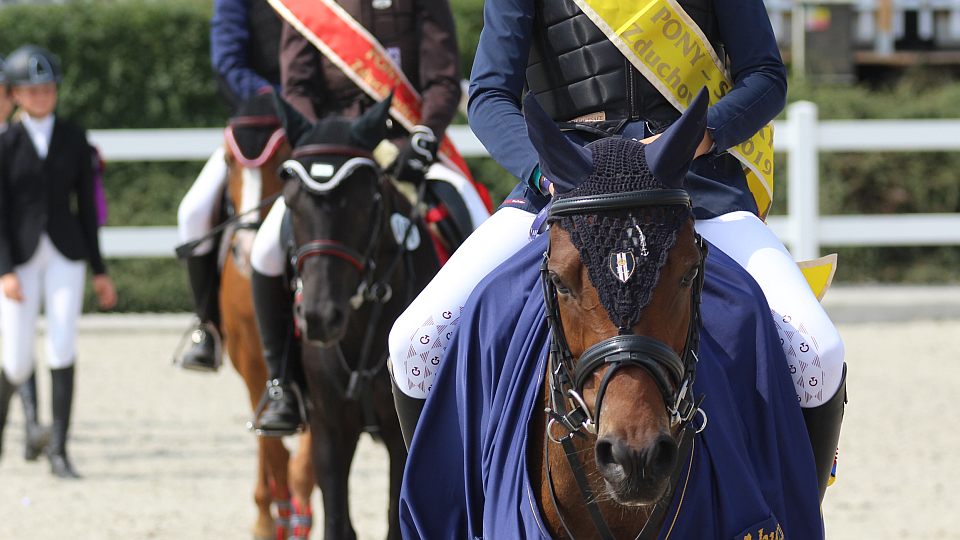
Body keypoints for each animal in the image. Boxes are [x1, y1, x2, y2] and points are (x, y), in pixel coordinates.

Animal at [275, 96, 440, 539]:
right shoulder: (329, 429)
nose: (318, 317)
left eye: (364, 203)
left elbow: (396, 523)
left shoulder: (400, 438)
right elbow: (337, 523)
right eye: (291, 203)